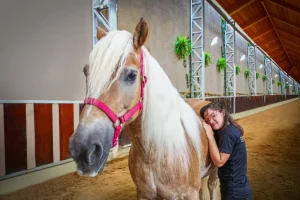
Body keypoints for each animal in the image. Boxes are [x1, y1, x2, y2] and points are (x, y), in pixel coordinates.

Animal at [68, 18, 218, 199]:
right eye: (86, 72)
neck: (155, 154)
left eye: (132, 75)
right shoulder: (144, 193)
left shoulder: (189, 194)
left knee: (211, 185)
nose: (82, 148)